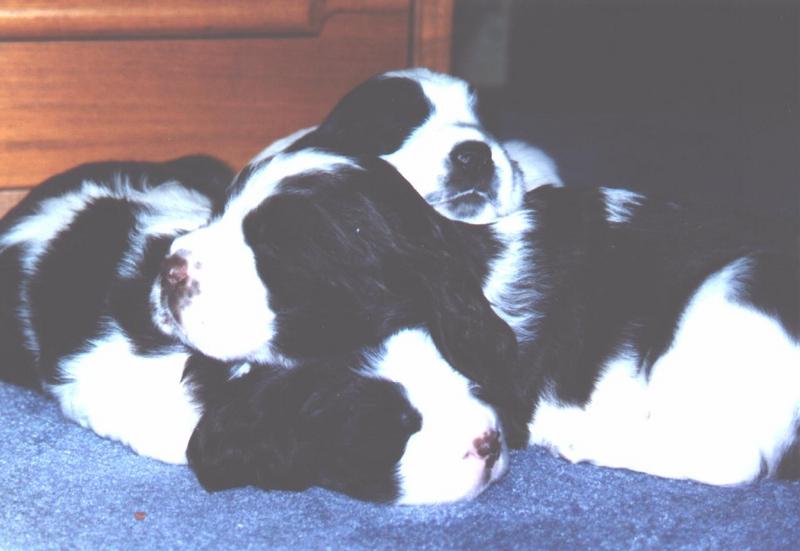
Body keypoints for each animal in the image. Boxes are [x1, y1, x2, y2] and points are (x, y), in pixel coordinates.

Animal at [175, 150, 800, 488]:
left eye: (276, 256)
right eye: (219, 213)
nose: (170, 271)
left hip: (730, 291)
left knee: (737, 457)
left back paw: (586, 440)